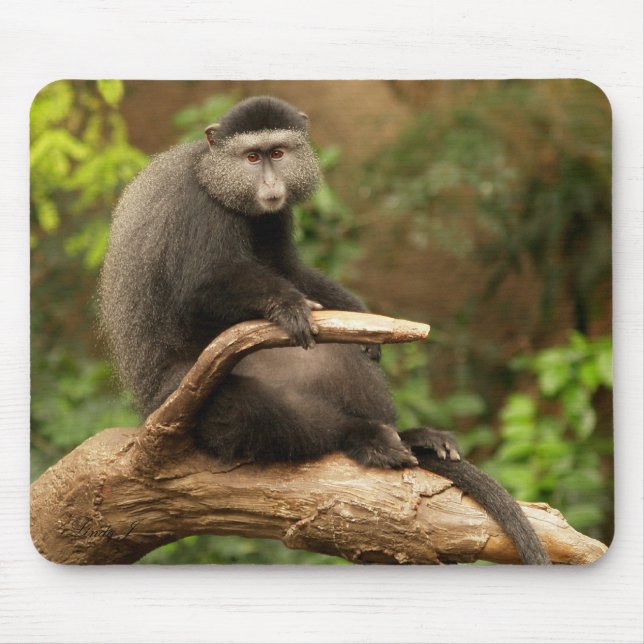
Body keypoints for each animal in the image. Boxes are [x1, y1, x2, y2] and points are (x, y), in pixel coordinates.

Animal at [99, 96, 549, 564]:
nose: (270, 182)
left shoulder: (273, 217)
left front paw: (356, 313)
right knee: (249, 409)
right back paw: (363, 438)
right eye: (252, 157)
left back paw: (412, 437)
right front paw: (286, 305)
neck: (213, 175)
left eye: (278, 153)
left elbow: (287, 268)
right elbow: (201, 288)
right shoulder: (198, 210)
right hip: (184, 399)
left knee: (338, 357)